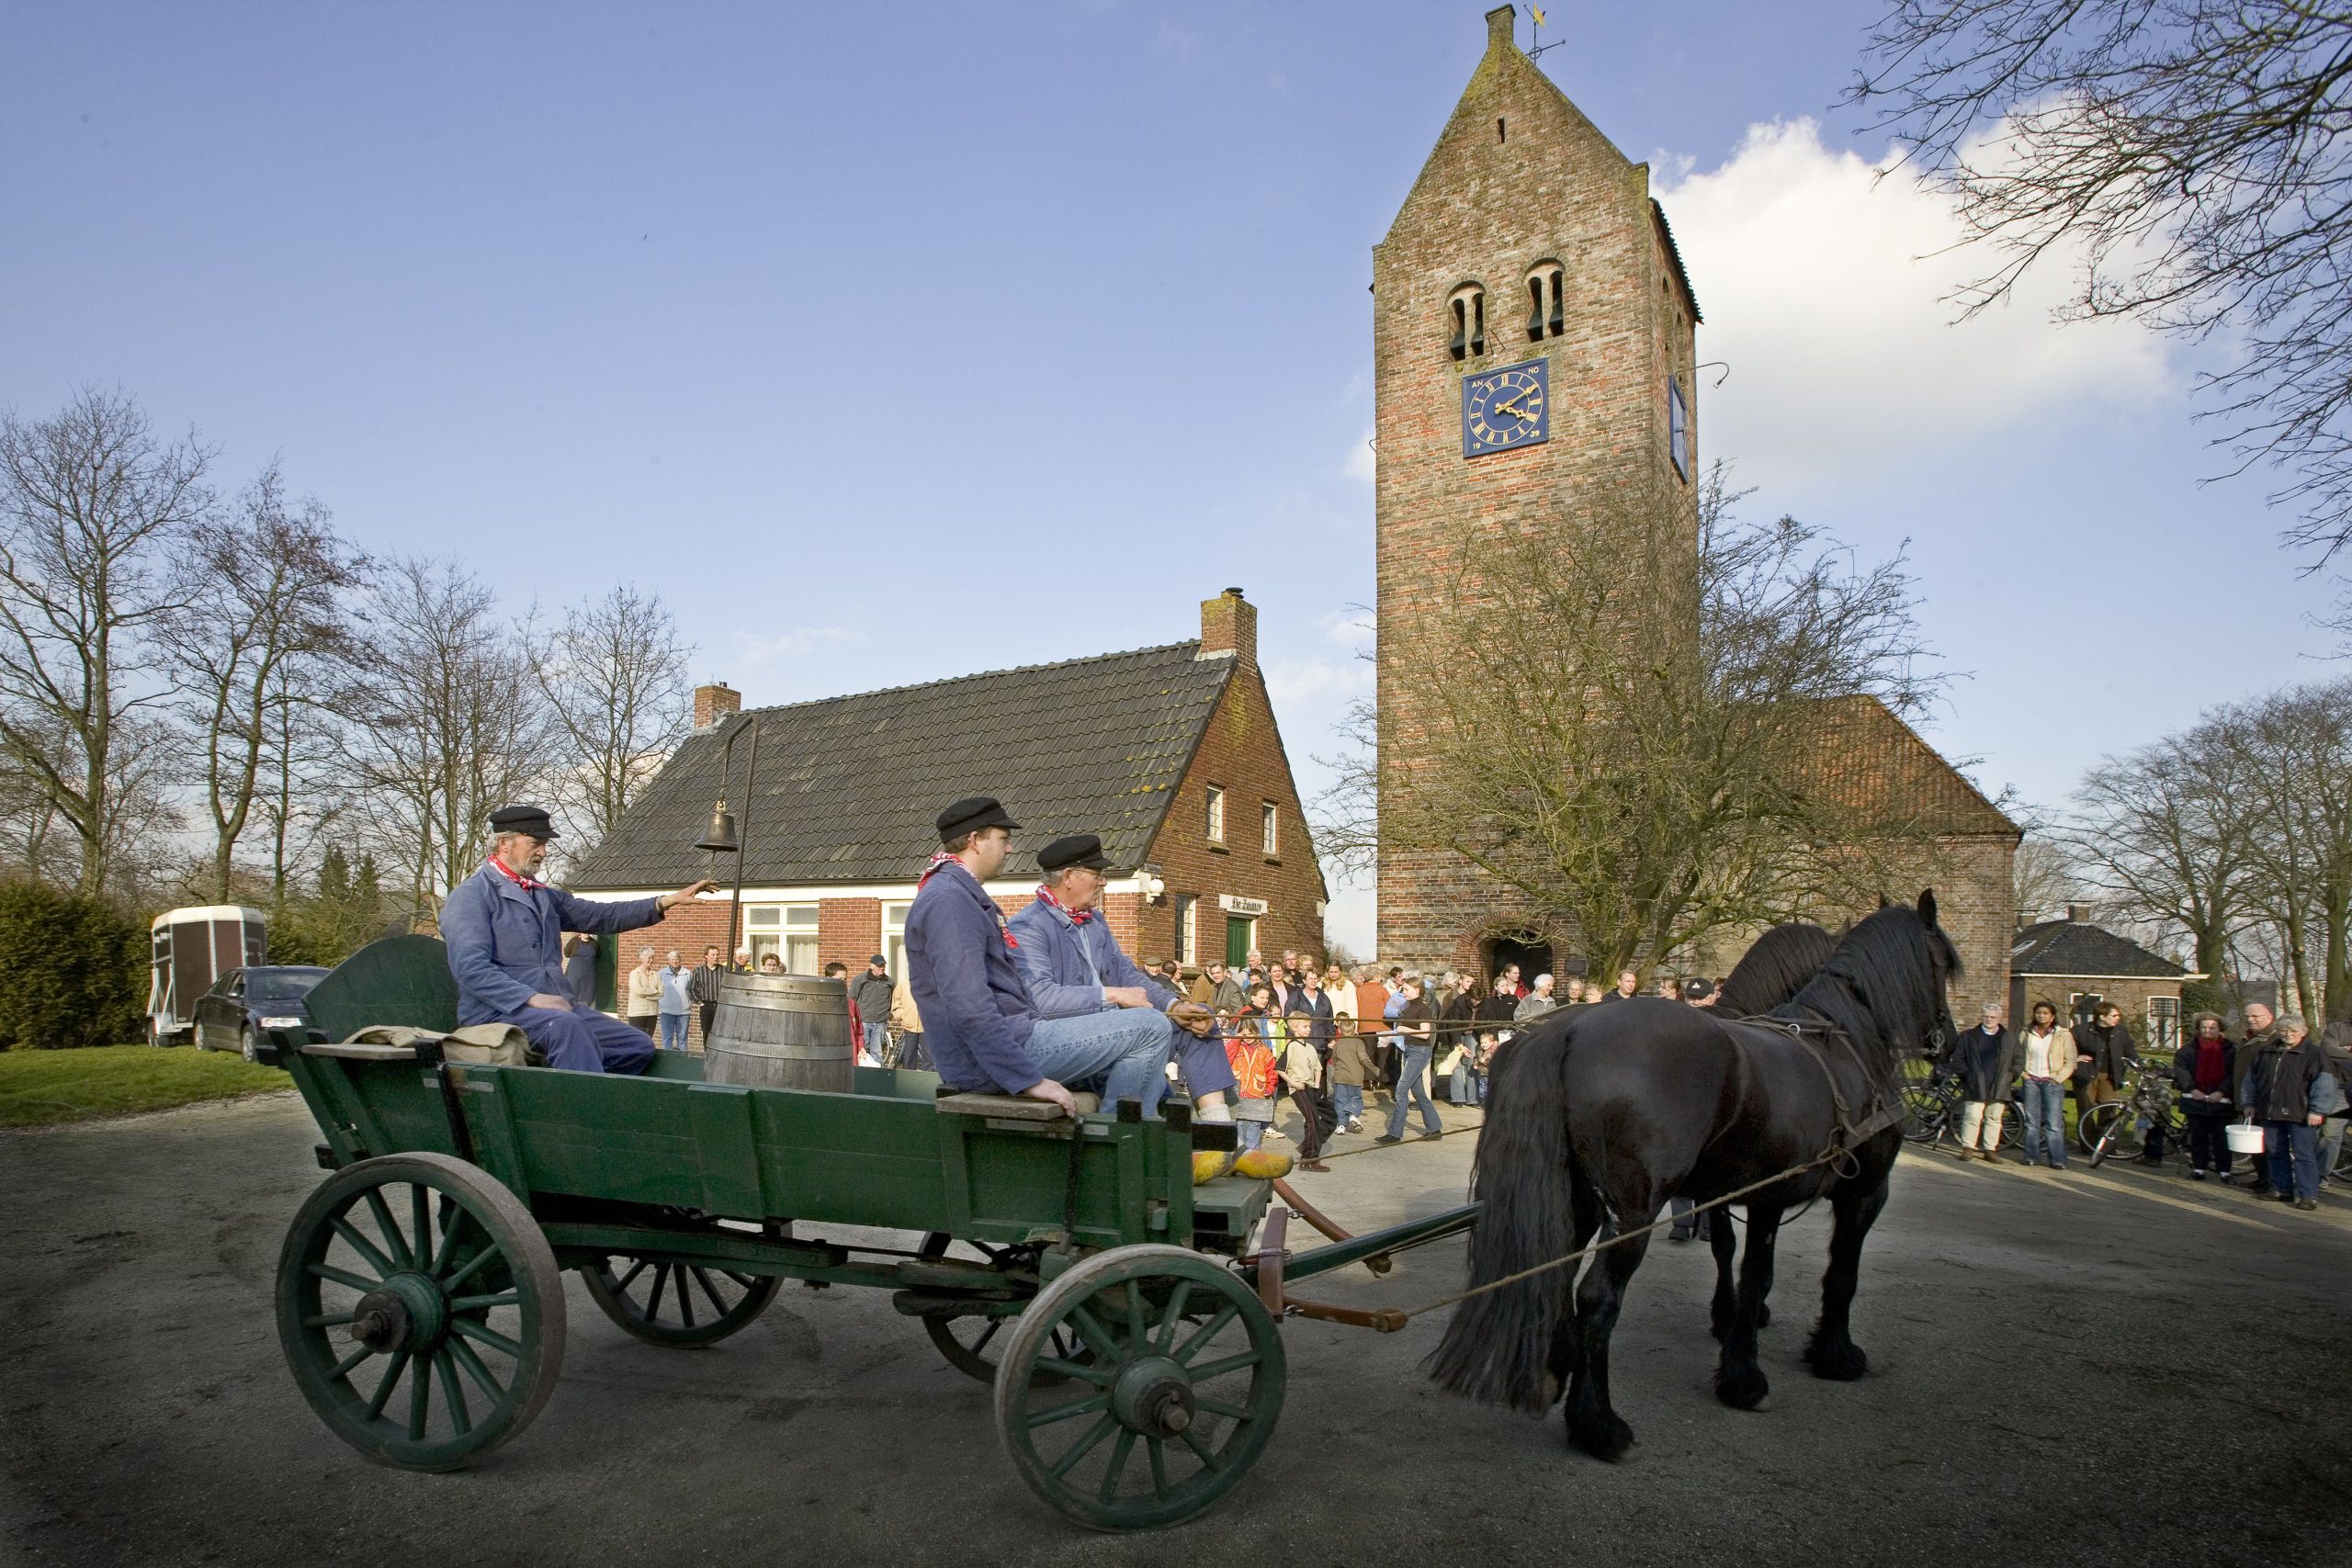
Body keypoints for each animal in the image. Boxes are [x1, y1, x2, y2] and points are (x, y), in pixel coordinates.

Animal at [1430, 893, 1966, 1457]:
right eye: (1942, 964)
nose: (1948, 1043)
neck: (1845, 1043)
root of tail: (1566, 1030)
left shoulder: (1751, 1194)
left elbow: (1743, 1263)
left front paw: (1738, 1344)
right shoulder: (1863, 1192)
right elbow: (1835, 1272)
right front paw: (1820, 1357)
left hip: (1576, 1199)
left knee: (1554, 1271)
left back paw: (1557, 1370)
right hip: (1631, 1212)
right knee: (1598, 1297)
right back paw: (1597, 1422)